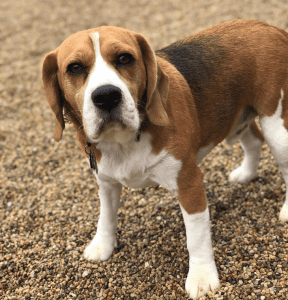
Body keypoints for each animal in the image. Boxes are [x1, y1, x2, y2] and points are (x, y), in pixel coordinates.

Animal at [42, 19, 288, 298]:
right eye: (74, 68)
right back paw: (246, 173)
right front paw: (102, 246)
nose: (106, 96)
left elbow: (196, 237)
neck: (124, 141)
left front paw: (202, 277)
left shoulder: (189, 183)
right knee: (254, 141)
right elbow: (106, 216)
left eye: (125, 58)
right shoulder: (105, 181)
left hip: (276, 128)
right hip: (236, 121)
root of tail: (268, 26)